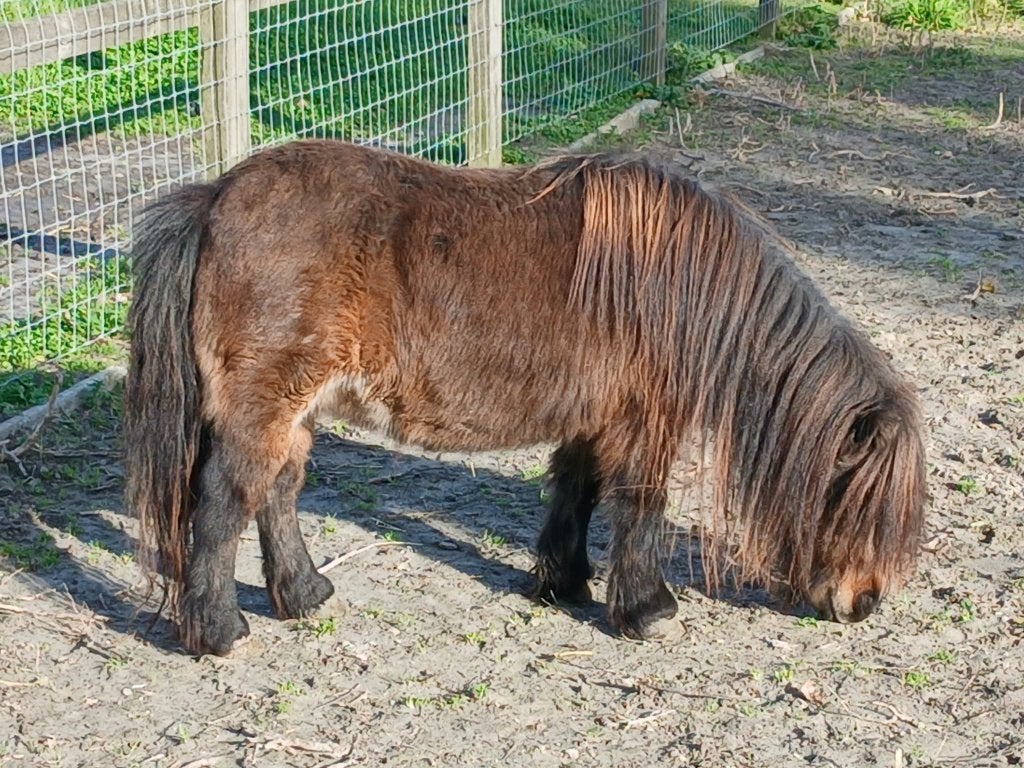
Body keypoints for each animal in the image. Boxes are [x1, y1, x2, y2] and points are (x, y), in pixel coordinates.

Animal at [123, 140, 927, 656]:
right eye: (860, 505)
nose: (864, 604)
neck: (685, 285)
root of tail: (216, 196)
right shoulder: (646, 422)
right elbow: (641, 505)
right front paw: (646, 611)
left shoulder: (594, 418)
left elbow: (575, 492)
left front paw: (562, 583)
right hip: (264, 405)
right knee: (225, 502)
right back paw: (219, 632)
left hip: (294, 408)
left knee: (278, 493)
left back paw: (305, 594)